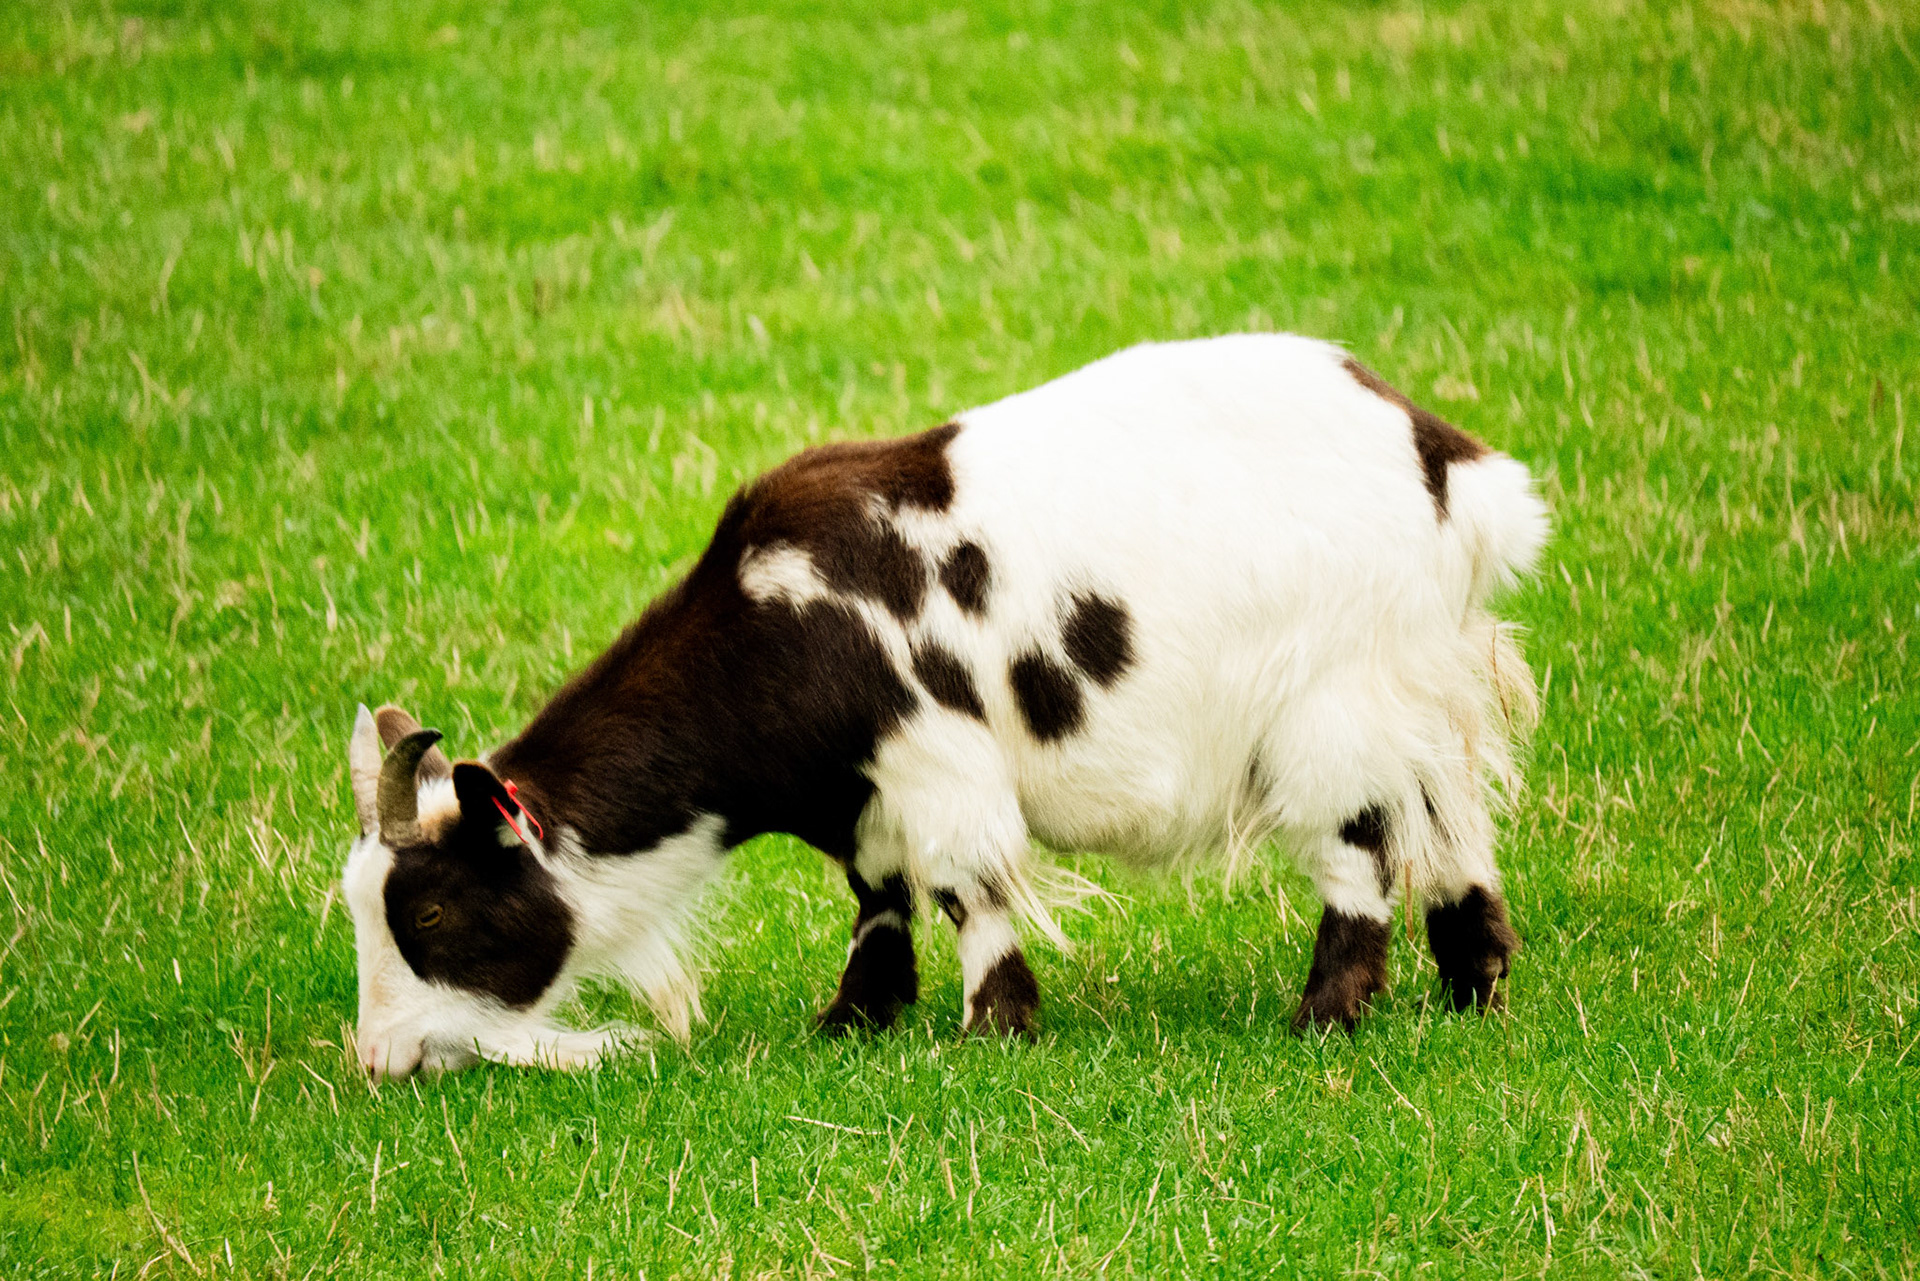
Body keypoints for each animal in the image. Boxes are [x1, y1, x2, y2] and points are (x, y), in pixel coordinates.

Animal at [341, 333, 1547, 1078]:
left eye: (431, 914)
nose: (380, 1059)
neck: (776, 619)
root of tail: (1449, 465)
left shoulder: (935, 754)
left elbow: (967, 884)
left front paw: (993, 1028)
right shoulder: (863, 788)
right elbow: (880, 892)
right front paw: (854, 1020)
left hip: (1331, 701)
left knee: (1360, 846)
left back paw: (1326, 1016)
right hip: (1422, 680)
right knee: (1453, 820)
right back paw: (1473, 984)